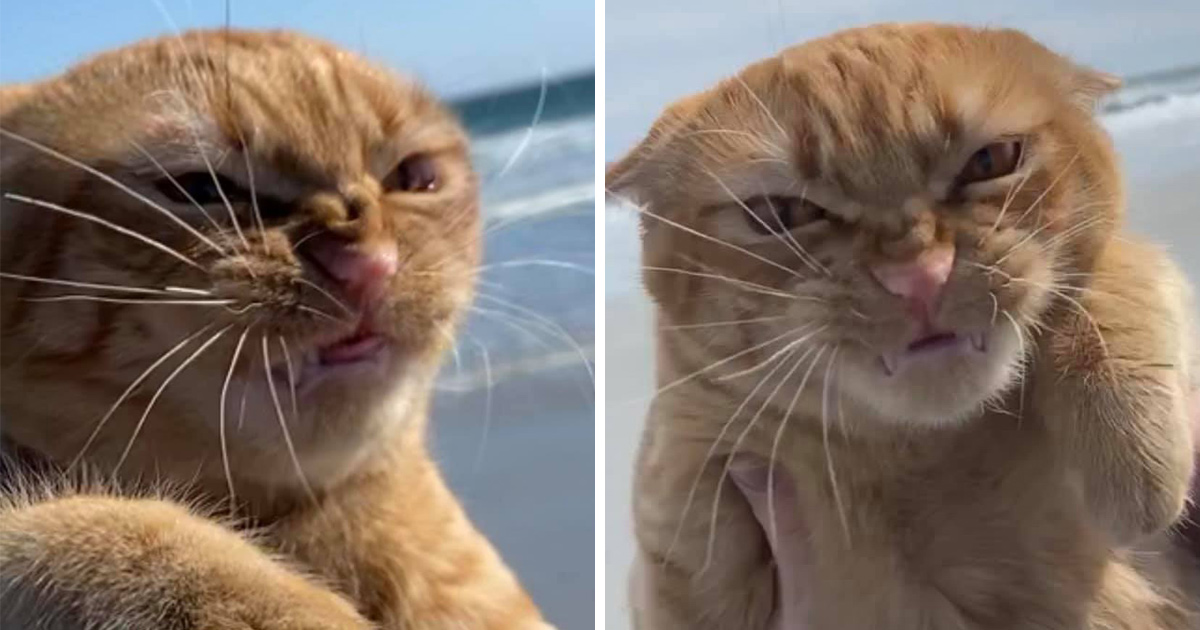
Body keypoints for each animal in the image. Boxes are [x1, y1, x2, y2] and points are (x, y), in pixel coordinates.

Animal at [609, 20, 1200, 628]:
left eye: (990, 161)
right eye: (784, 214)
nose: (918, 275)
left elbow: (1119, 268)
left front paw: (1132, 449)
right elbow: (685, 505)